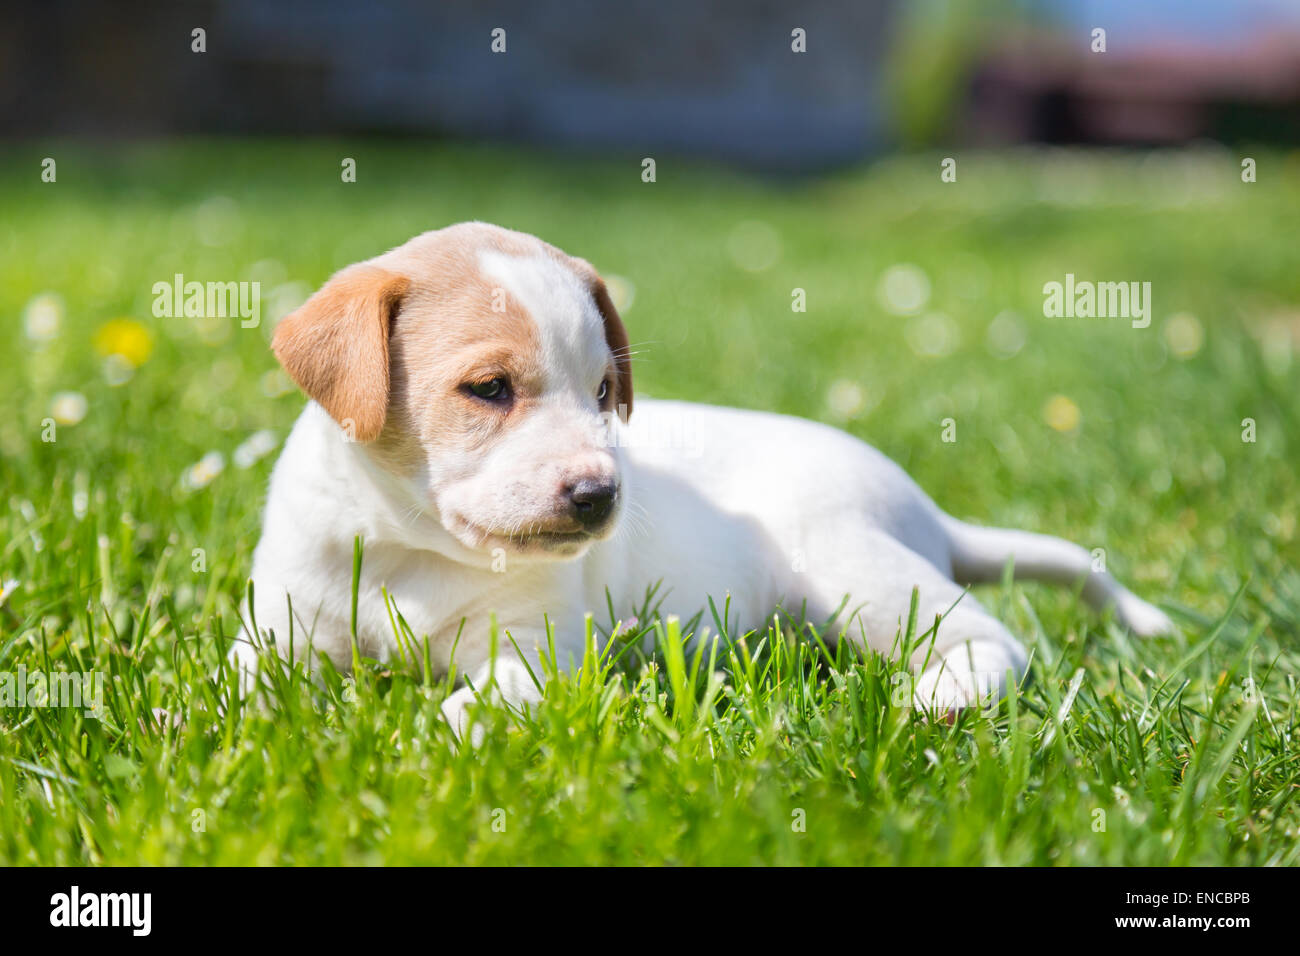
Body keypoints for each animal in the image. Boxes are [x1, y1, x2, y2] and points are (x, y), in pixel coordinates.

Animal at [236, 221, 1180, 738]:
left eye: (605, 393)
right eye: (489, 389)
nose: (600, 496)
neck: (409, 548)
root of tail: (926, 511)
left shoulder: (539, 652)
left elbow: (482, 701)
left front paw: (431, 738)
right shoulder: (282, 626)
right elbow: (244, 682)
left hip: (853, 572)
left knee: (991, 638)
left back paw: (942, 699)